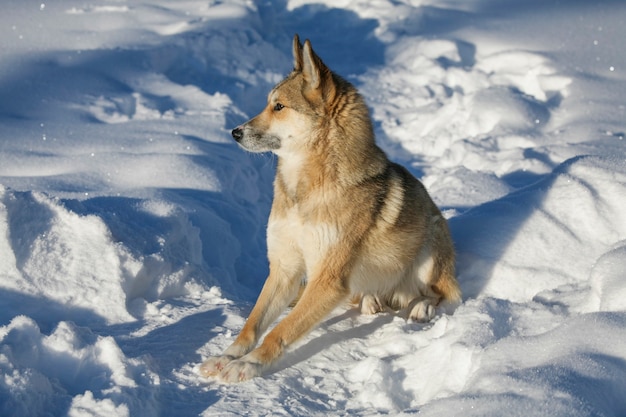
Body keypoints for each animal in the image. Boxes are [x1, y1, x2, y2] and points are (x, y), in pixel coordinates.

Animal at [199, 34, 458, 382]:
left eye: (279, 106)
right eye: (269, 104)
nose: (235, 132)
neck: (304, 188)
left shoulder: (327, 280)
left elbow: (279, 331)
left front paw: (248, 364)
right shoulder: (284, 268)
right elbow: (252, 325)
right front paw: (226, 356)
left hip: (430, 245)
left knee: (440, 293)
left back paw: (420, 306)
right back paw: (371, 299)